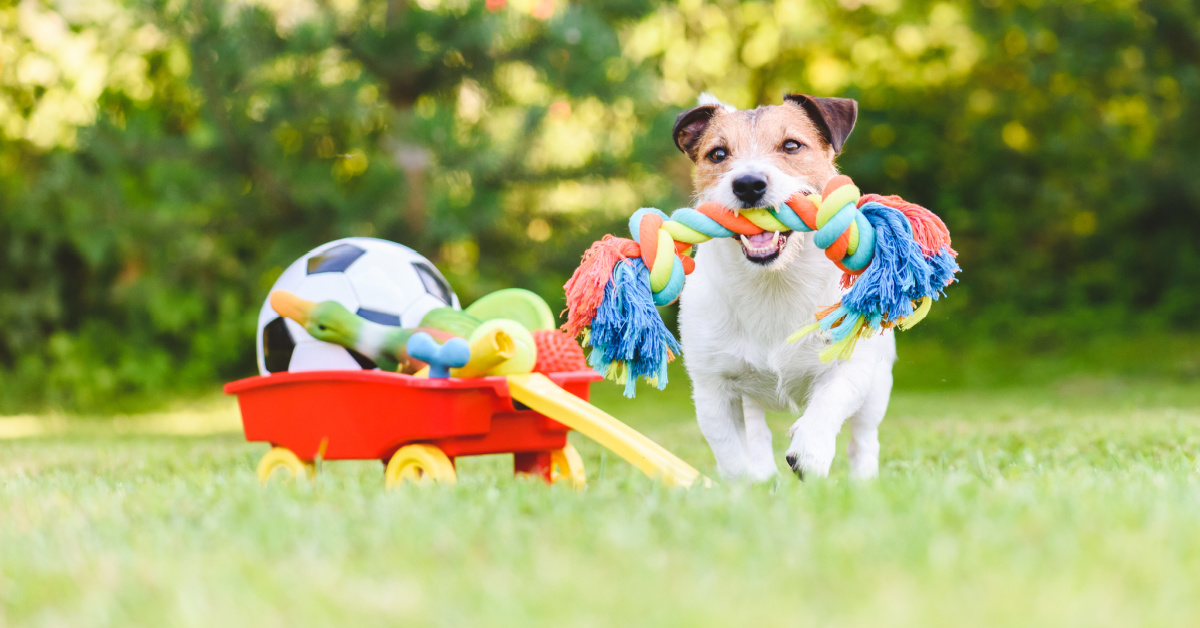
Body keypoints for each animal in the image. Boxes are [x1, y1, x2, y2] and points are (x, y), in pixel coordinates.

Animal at [672, 93, 897, 482]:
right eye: (718, 154)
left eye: (791, 145)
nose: (748, 184)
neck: (774, 282)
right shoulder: (713, 389)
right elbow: (733, 456)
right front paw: (748, 488)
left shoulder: (851, 366)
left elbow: (829, 400)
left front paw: (810, 450)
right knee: (757, 436)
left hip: (877, 387)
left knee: (864, 440)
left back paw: (863, 480)